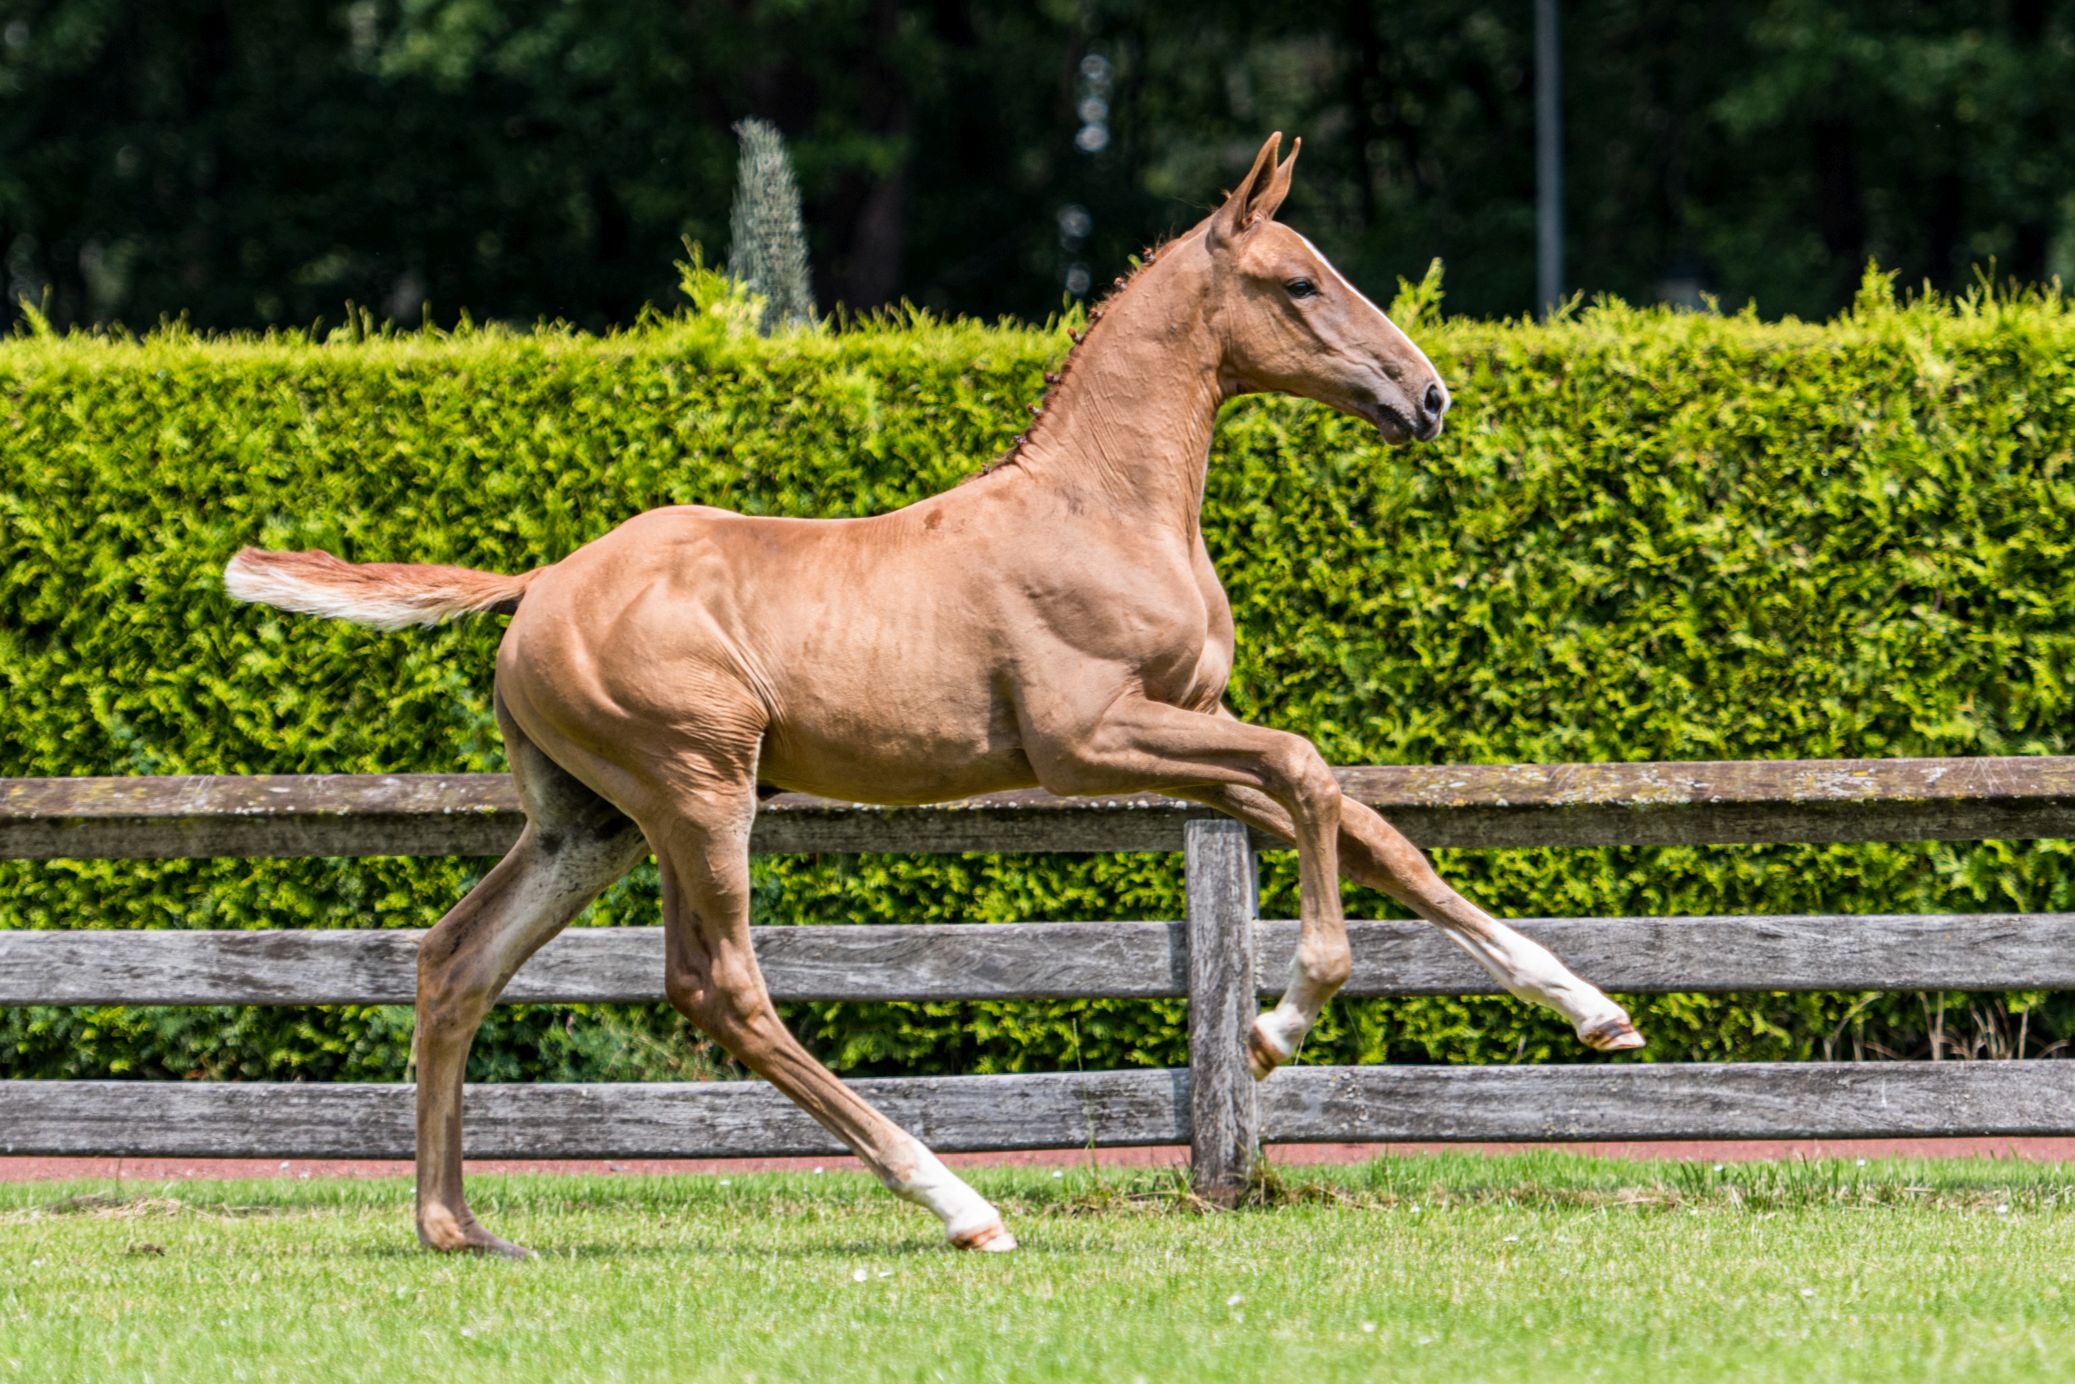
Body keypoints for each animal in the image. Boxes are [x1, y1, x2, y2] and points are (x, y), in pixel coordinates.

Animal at [224, 132, 1642, 1258]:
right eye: (1298, 282)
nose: (1428, 395)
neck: (1107, 506)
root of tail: (536, 585)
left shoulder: (1182, 729)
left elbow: (1364, 822)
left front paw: (1595, 1013)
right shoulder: (1087, 743)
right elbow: (1303, 772)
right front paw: (1273, 1028)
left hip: (593, 821)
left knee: (456, 960)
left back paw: (459, 1226)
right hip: (699, 789)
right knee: (716, 987)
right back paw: (958, 1202)